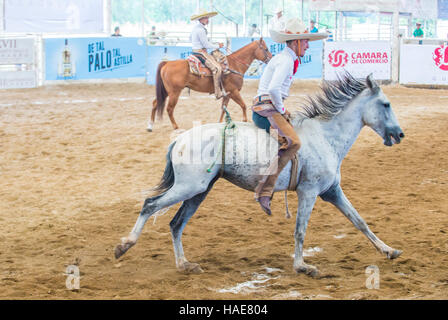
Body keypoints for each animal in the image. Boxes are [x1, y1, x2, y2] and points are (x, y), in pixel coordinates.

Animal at [114, 74, 406, 276]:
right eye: (386, 104)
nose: (400, 134)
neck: (326, 136)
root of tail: (180, 140)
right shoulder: (309, 192)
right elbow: (300, 230)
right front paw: (302, 266)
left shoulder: (331, 191)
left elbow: (359, 221)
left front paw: (389, 250)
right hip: (189, 187)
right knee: (150, 205)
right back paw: (124, 245)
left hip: (199, 191)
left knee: (176, 224)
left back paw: (185, 264)